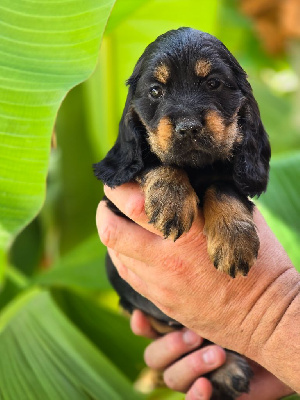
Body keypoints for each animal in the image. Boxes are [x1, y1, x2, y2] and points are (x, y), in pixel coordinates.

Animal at [94, 28, 272, 400]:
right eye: (155, 91)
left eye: (214, 84)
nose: (188, 127)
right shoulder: (117, 200)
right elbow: (156, 162)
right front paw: (171, 200)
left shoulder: (233, 175)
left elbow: (223, 186)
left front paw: (233, 240)